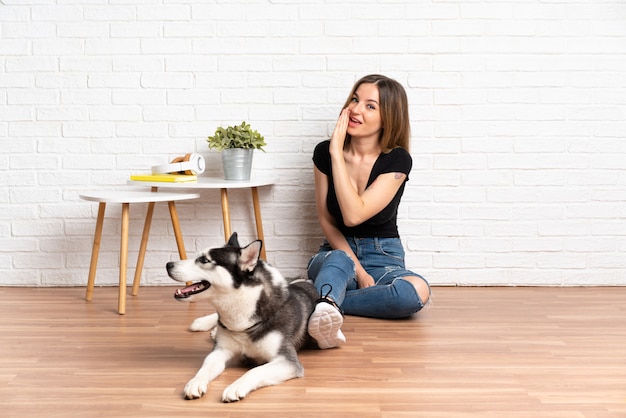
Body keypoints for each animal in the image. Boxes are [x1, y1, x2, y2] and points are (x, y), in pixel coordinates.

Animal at [166, 232, 316, 402]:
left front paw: (236, 386)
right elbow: (204, 367)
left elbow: (256, 370)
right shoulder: (220, 351)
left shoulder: (287, 361)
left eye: (204, 260)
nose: (168, 264)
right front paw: (195, 382)